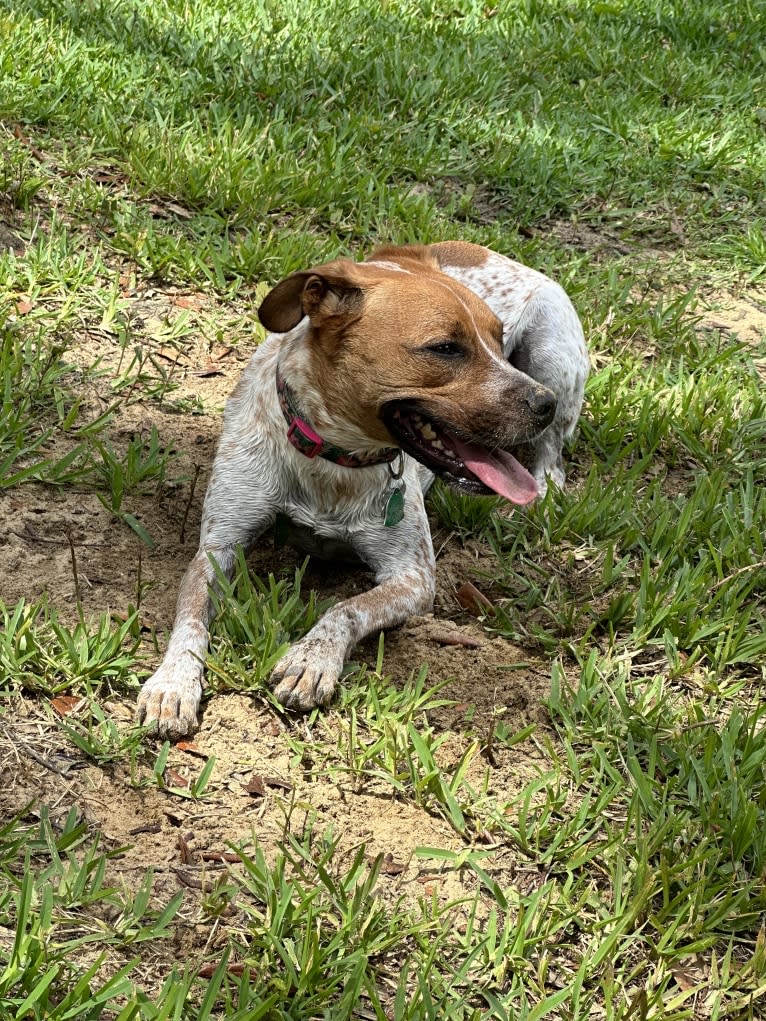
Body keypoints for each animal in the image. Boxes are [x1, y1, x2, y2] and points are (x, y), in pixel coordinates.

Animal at [137, 242, 592, 739]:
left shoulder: (414, 578)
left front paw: (311, 660)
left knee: (553, 453)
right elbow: (190, 618)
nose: (543, 404)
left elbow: (347, 609)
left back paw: (546, 494)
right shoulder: (218, 547)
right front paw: (172, 684)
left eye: (499, 340)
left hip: (553, 354)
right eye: (445, 348)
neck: (334, 458)